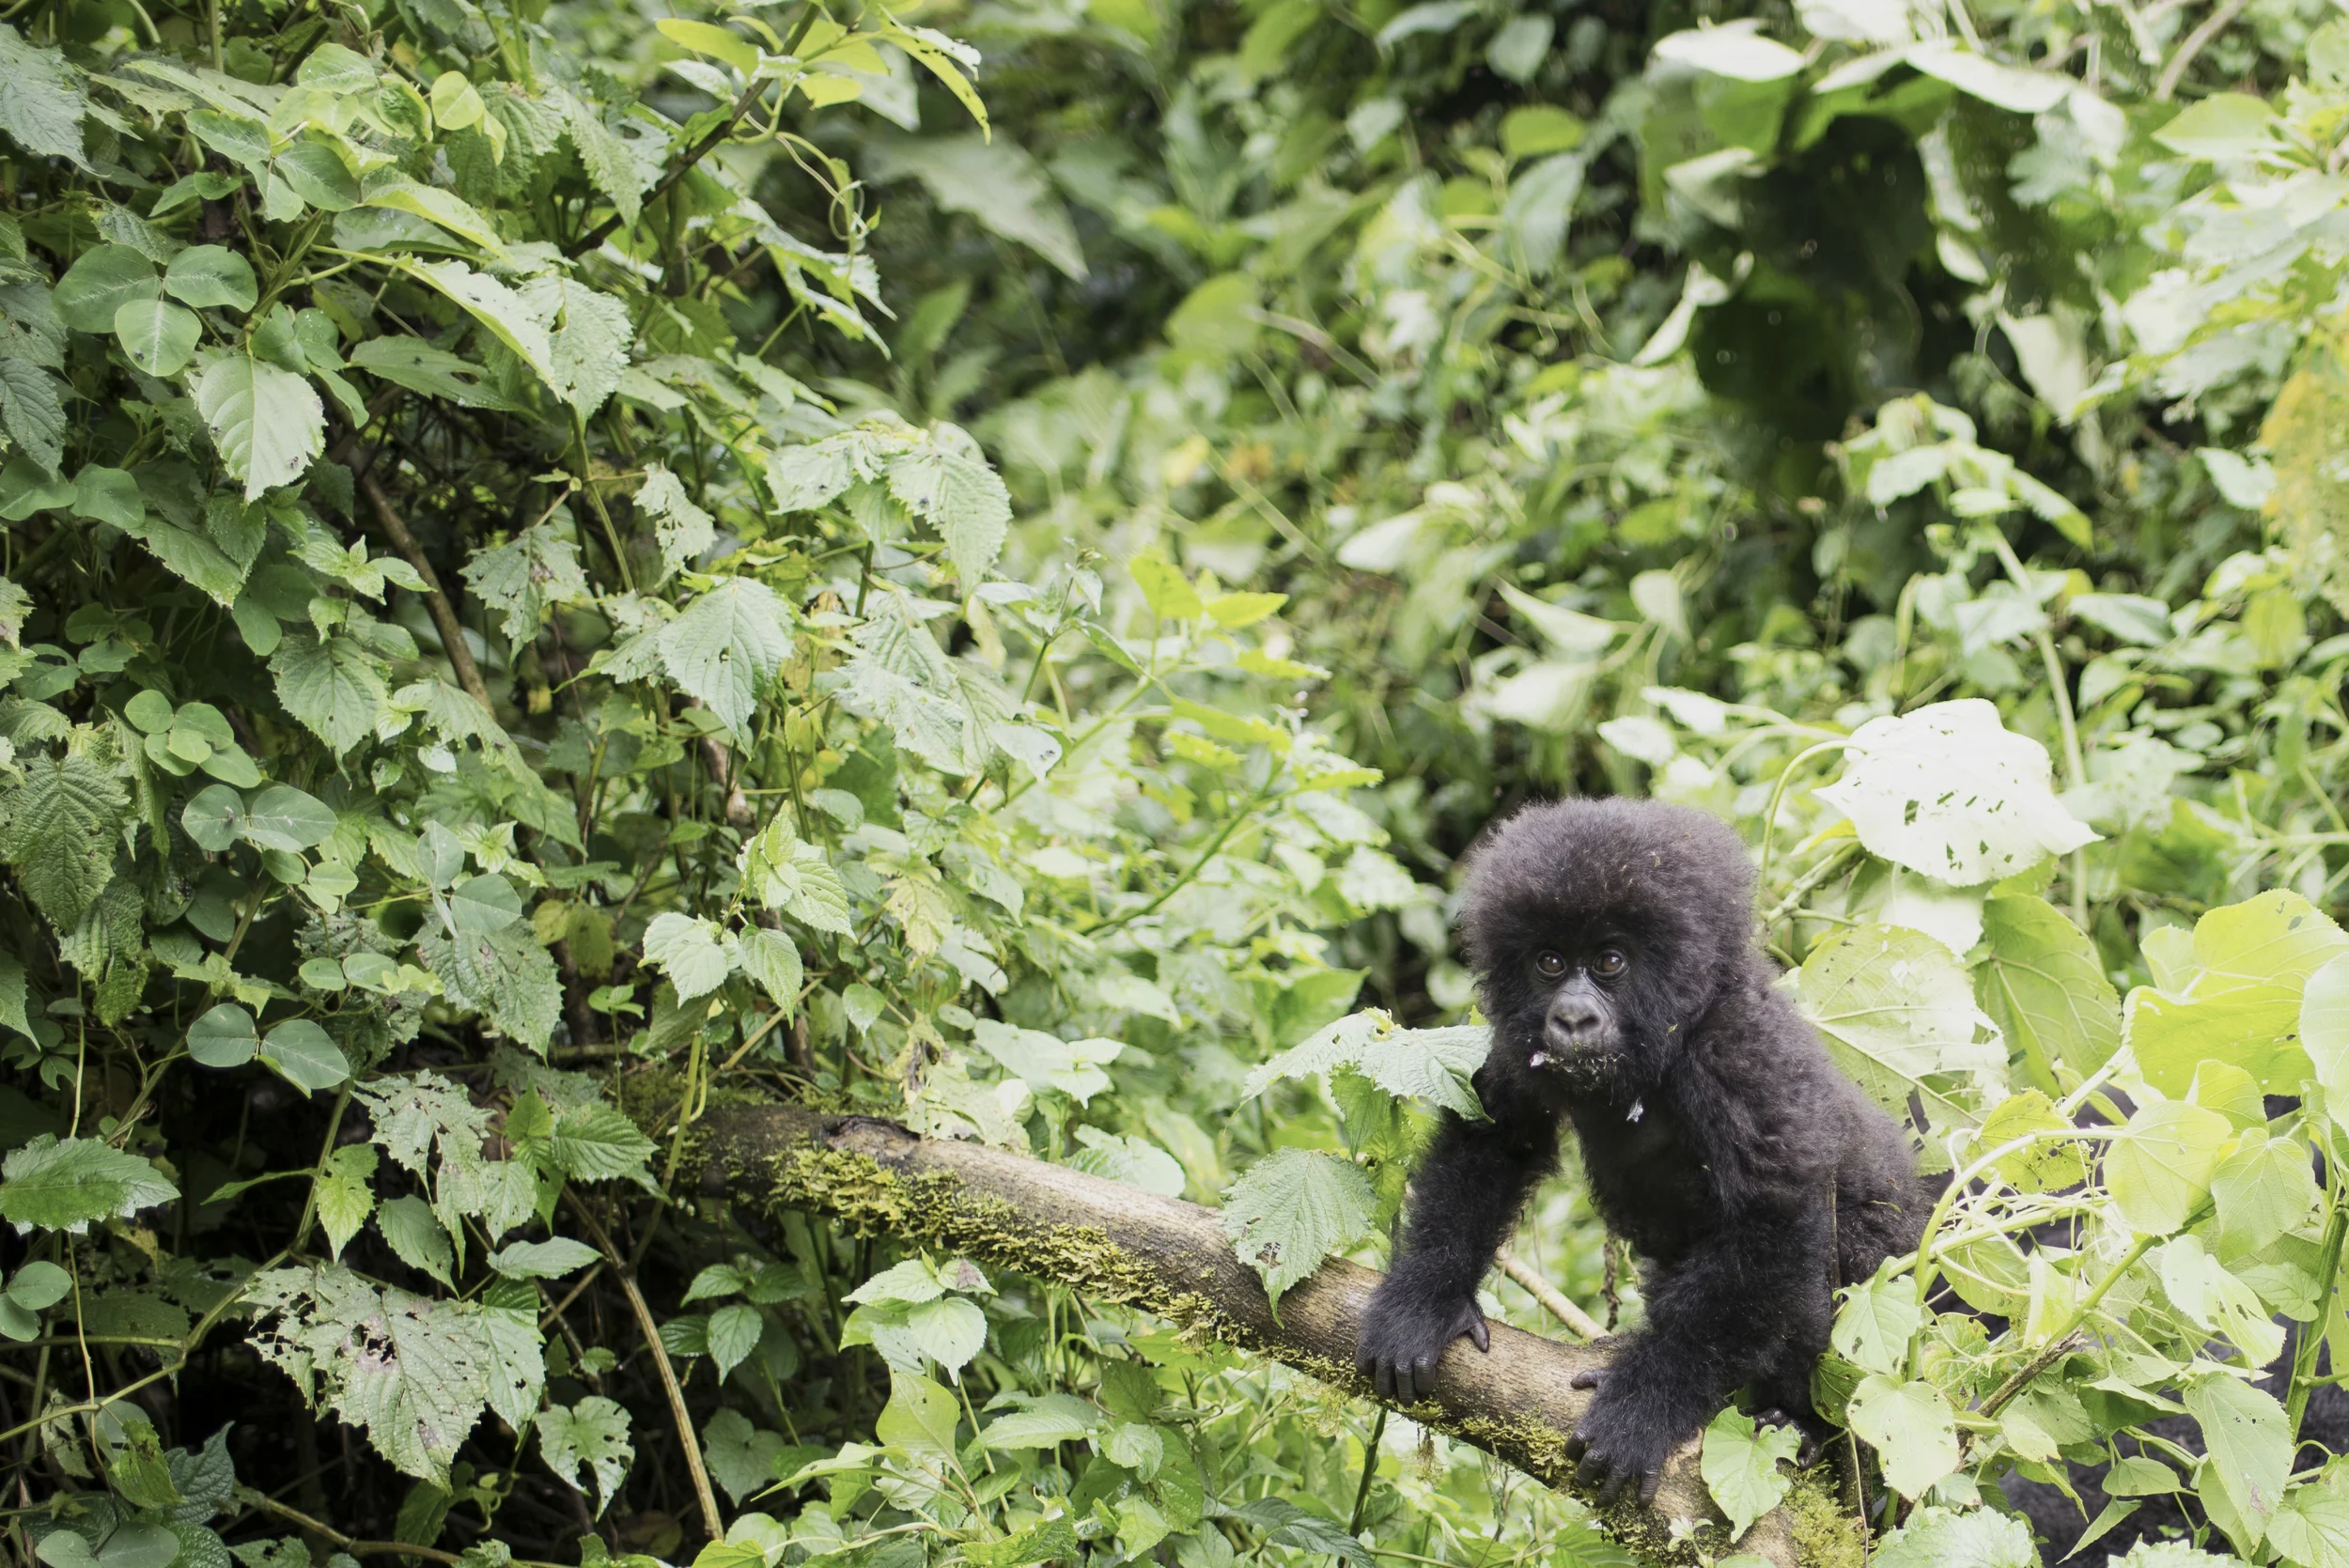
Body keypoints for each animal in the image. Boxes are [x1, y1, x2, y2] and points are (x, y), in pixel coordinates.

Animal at [1354, 797, 1930, 1504]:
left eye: (1610, 962)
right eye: (1549, 962)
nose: (1572, 1018)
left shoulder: (1737, 1053)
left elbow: (1774, 1220)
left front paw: (1645, 1406)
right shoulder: (1518, 1042)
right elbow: (1495, 1139)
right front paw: (1425, 1300)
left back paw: (1801, 1425)